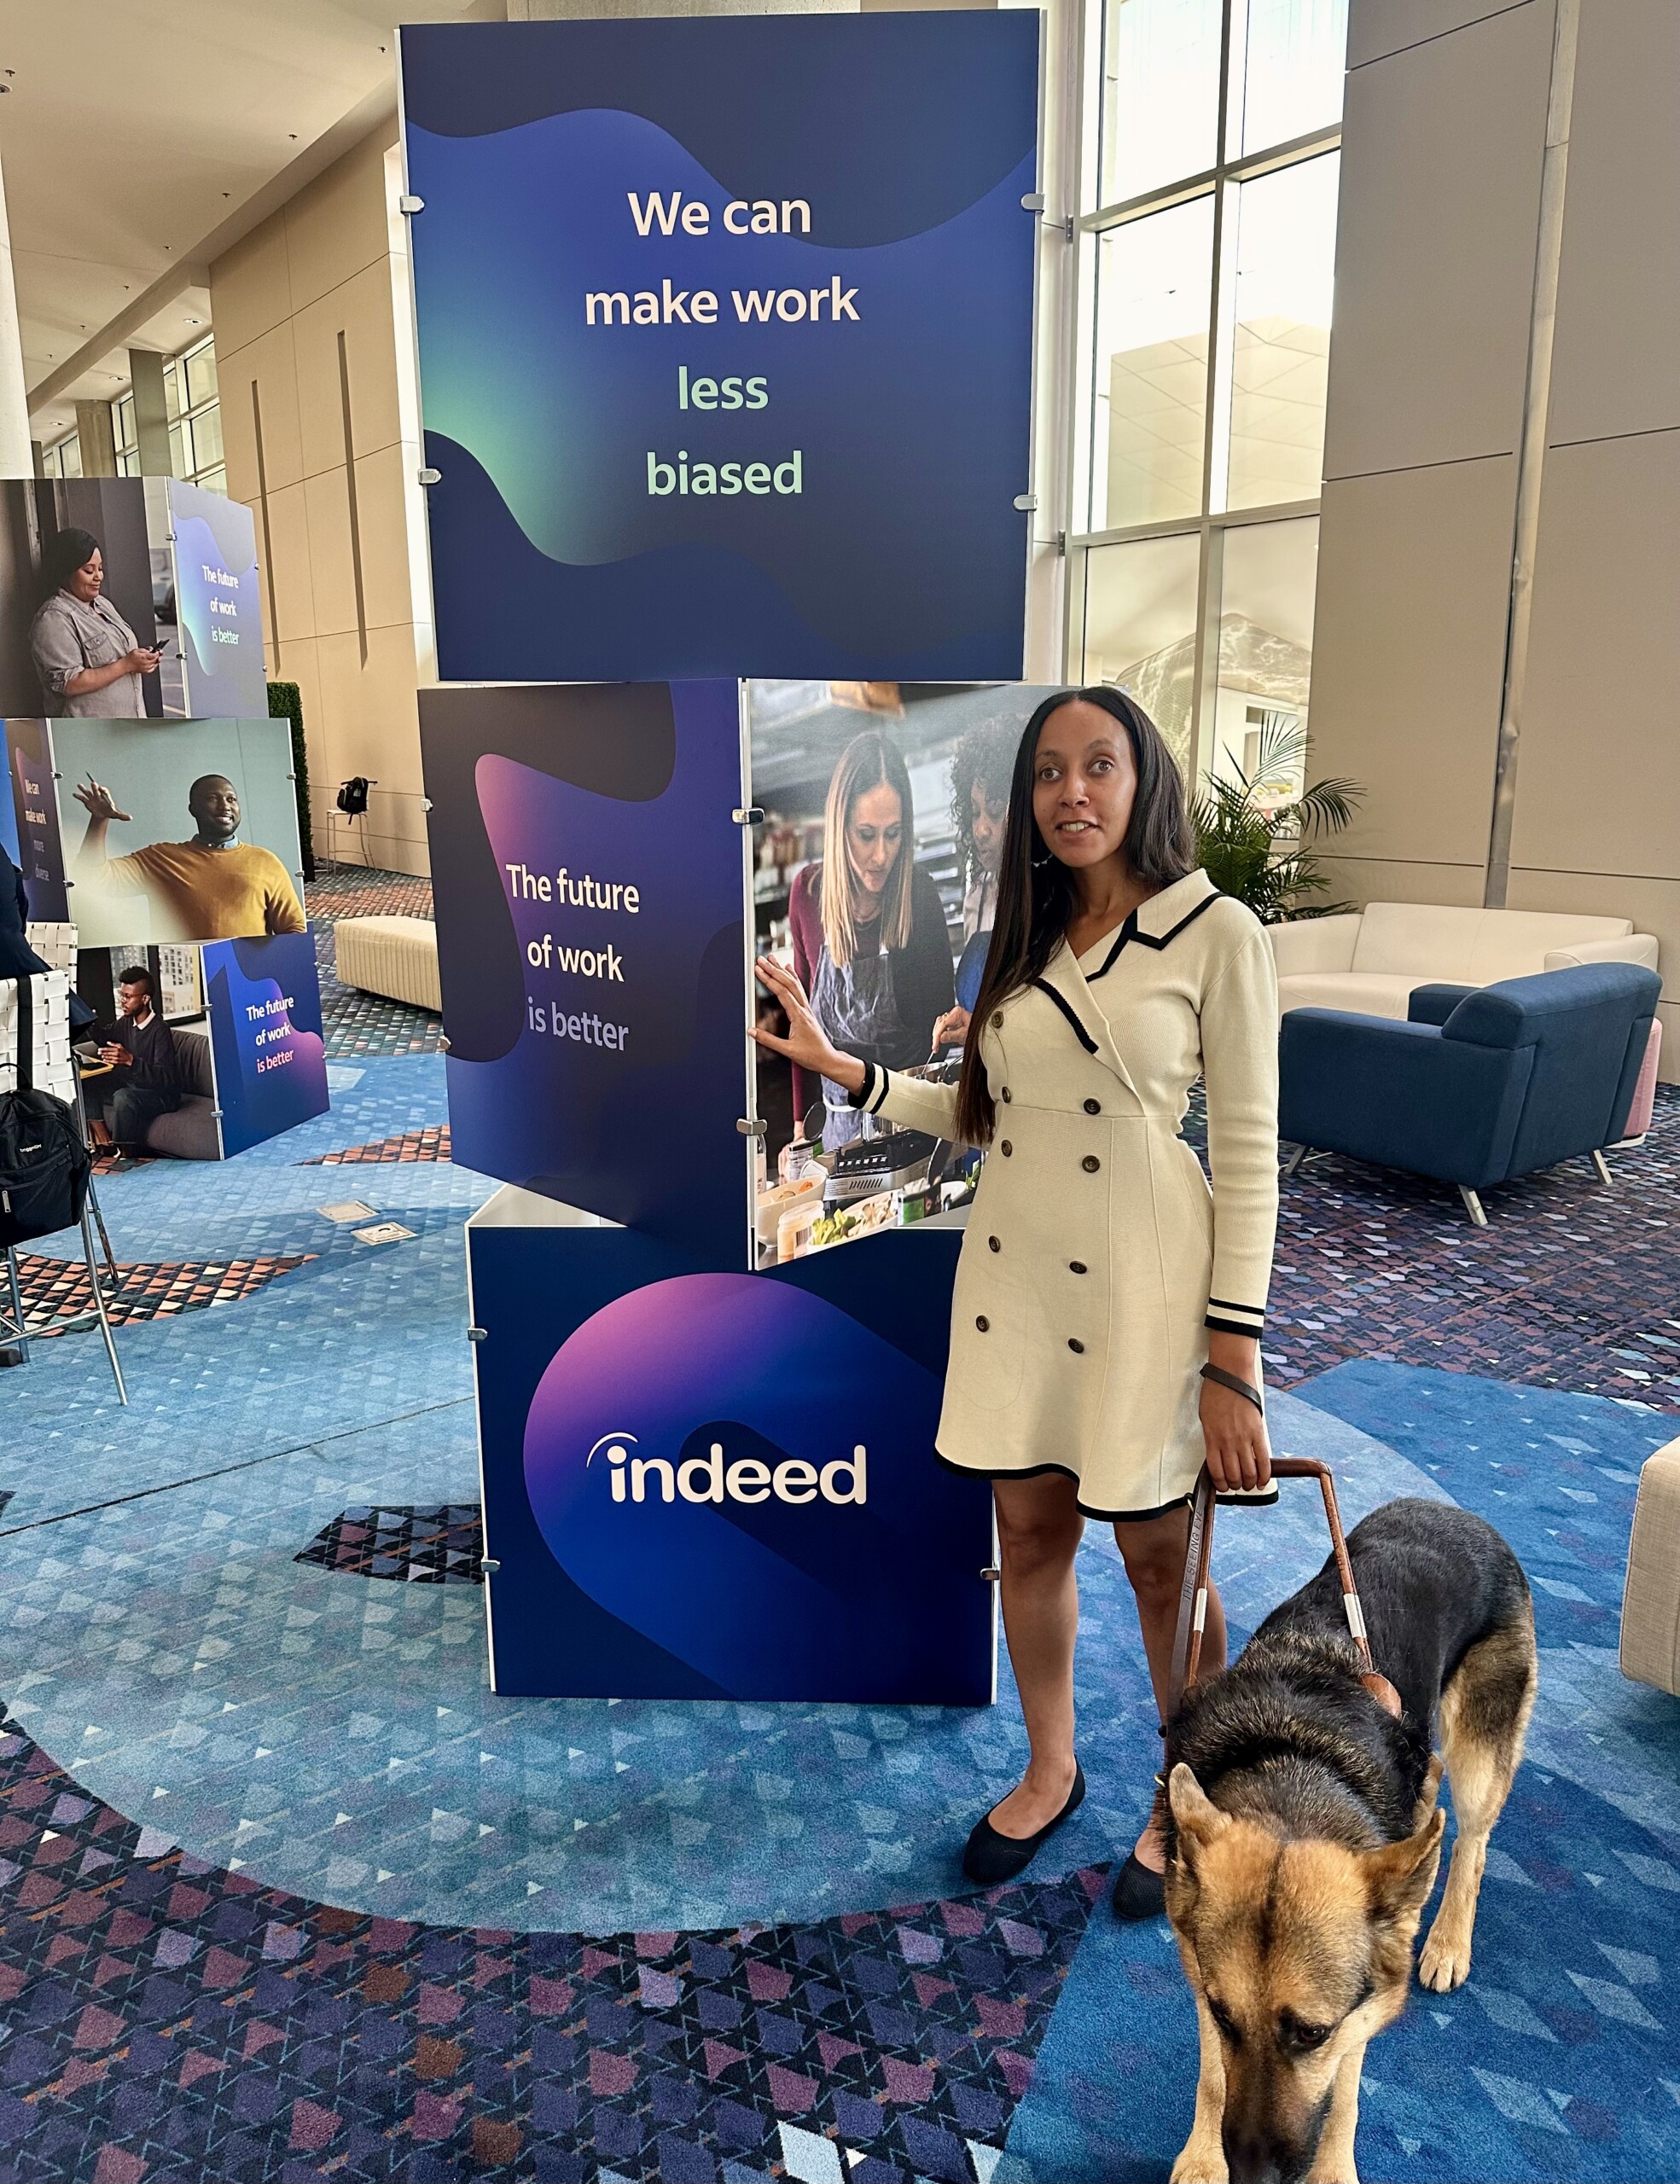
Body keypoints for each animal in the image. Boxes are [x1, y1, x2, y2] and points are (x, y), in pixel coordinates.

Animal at [1153, 1502, 1538, 2184]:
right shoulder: (1198, 1972)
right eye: (1226, 2018)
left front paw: (1330, 2169)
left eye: (1311, 2034)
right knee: (1432, 1787)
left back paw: (1448, 1939)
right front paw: (1203, 2159)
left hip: (1479, 1754)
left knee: (1472, 1841)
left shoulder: (1357, 2013)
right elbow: (1214, 2076)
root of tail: (1454, 1513)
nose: (1252, 2176)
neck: (1296, 1766)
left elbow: (1345, 2093)